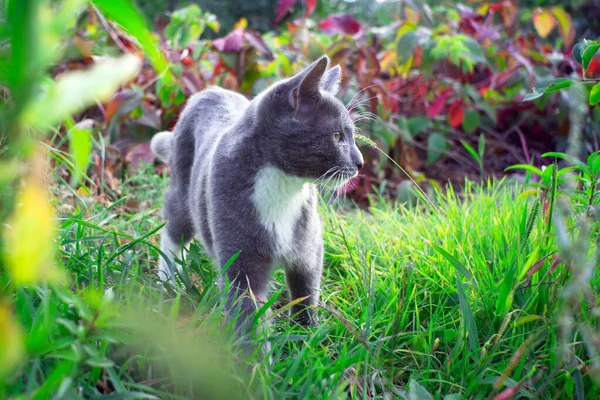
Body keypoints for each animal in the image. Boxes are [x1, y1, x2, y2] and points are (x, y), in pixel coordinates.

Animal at [152, 54, 364, 350]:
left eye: (353, 136)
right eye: (337, 137)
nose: (360, 162)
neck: (284, 184)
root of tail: (209, 92)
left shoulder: (308, 244)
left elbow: (306, 290)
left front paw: (307, 338)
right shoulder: (241, 258)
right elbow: (247, 309)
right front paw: (254, 360)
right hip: (183, 186)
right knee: (174, 226)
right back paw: (168, 283)